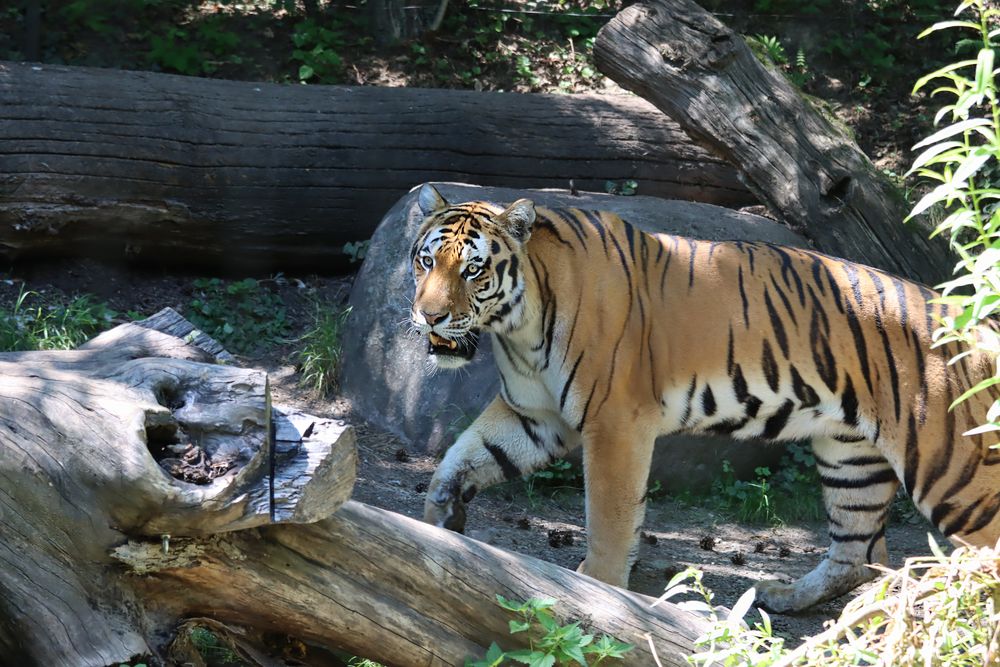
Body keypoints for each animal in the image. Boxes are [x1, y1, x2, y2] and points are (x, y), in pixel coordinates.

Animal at [406, 183, 1000, 612]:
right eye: (427, 261)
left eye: (473, 269)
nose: (429, 316)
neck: (518, 324)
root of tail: (978, 322)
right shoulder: (533, 413)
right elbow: (463, 456)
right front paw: (441, 520)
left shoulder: (615, 423)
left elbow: (610, 519)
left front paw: (599, 590)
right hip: (851, 457)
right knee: (860, 551)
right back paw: (788, 599)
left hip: (952, 473)